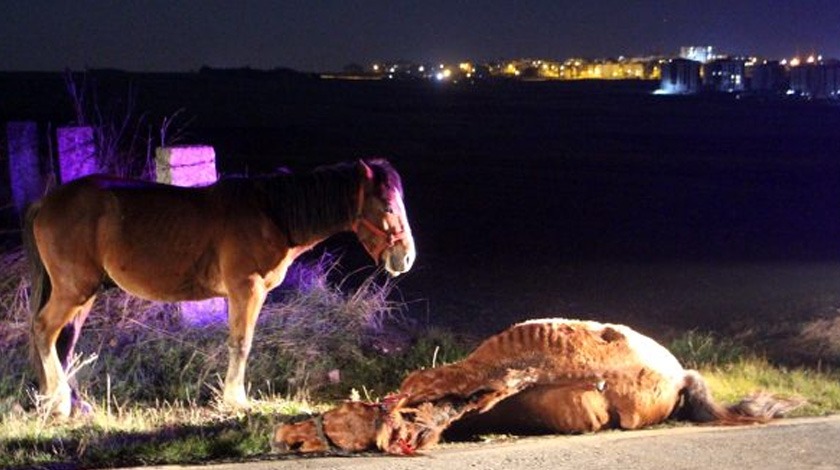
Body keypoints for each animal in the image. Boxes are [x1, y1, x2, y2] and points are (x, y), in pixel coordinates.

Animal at [26, 160, 416, 416]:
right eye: (387, 205)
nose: (406, 256)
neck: (271, 212)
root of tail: (47, 202)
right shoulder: (247, 290)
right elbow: (241, 344)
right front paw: (235, 399)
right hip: (73, 291)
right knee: (45, 331)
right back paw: (58, 402)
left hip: (83, 295)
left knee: (64, 339)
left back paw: (69, 402)